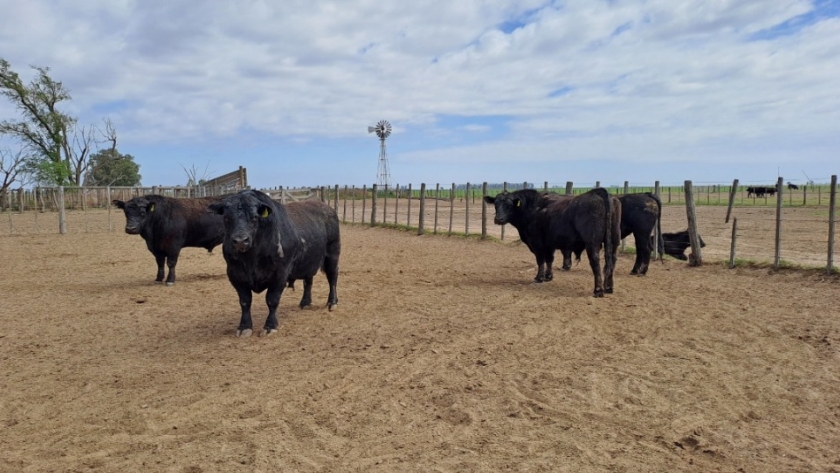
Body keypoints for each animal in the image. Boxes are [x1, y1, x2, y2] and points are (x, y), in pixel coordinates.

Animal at [208, 188, 340, 336]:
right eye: (226, 218)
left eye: (255, 217)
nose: (241, 241)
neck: (251, 258)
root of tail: (325, 207)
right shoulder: (235, 275)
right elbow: (245, 301)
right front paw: (244, 327)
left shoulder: (280, 274)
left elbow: (272, 300)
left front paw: (270, 326)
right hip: (308, 260)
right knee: (308, 280)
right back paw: (305, 302)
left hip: (333, 254)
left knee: (332, 277)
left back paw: (332, 302)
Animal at [482, 187, 620, 296]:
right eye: (495, 204)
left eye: (509, 205)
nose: (498, 219)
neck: (531, 208)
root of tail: (596, 193)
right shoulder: (549, 243)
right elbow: (549, 259)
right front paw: (548, 276)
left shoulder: (537, 243)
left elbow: (540, 260)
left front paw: (539, 278)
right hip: (613, 241)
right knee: (611, 262)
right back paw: (609, 288)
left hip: (592, 242)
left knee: (596, 262)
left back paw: (598, 290)